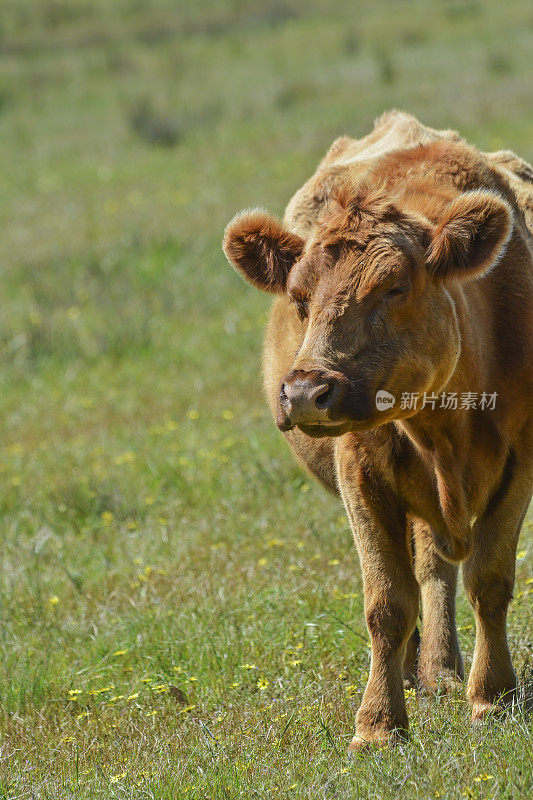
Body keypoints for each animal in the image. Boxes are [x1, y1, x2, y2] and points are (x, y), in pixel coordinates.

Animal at [221, 112, 532, 752]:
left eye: (393, 288)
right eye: (299, 298)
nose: (305, 392)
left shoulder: (523, 461)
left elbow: (489, 581)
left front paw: (493, 696)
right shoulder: (361, 475)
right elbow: (387, 602)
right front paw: (379, 722)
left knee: (438, 569)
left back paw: (443, 672)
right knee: (426, 572)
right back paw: (423, 673)